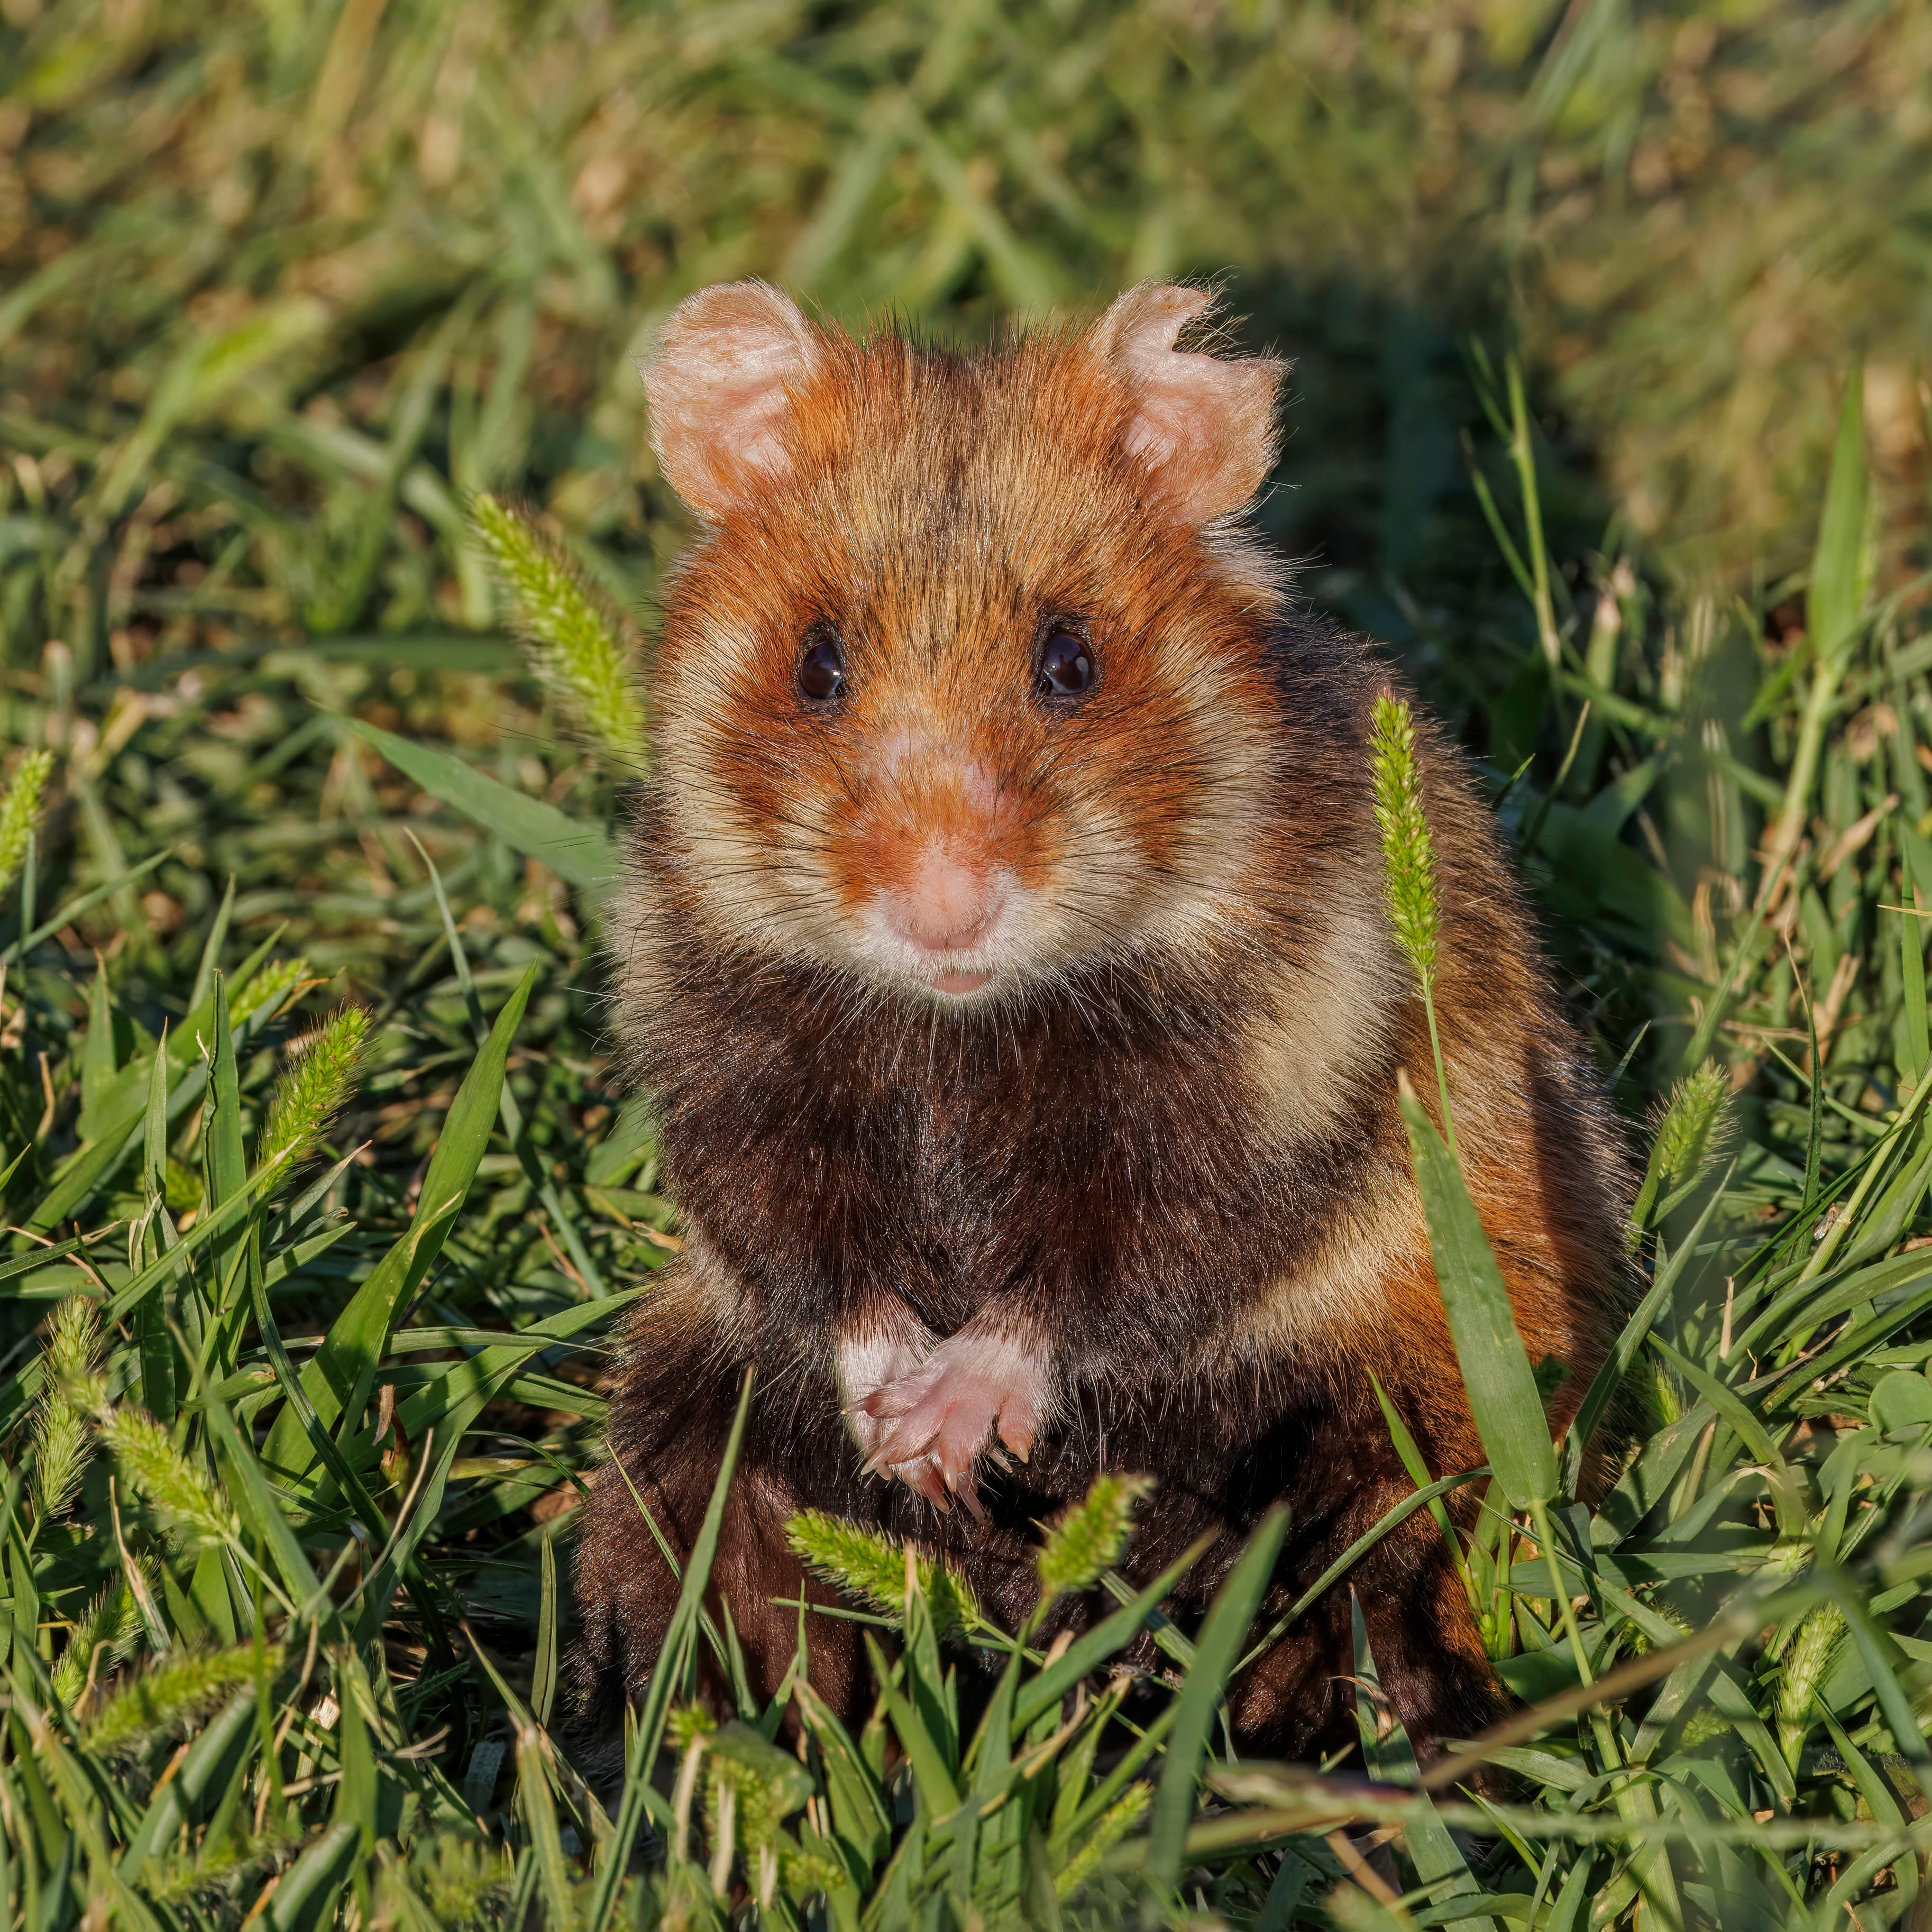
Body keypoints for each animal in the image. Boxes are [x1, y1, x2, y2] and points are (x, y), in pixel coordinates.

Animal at [571, 280, 1632, 1761]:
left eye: (1068, 659)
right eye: (816, 665)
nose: (943, 910)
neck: (958, 1031)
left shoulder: (1267, 1088)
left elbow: (1106, 1273)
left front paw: (945, 1427)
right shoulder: (726, 1070)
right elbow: (815, 1255)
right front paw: (898, 1438)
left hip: (1422, 1371)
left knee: (1367, 1552)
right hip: (684, 1386)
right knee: (697, 1509)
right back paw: (741, 1704)